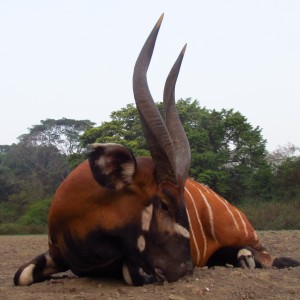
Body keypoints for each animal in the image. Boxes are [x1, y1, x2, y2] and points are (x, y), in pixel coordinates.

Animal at [12, 13, 298, 286]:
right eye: (164, 203)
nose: (183, 270)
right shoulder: (56, 254)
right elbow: (21, 275)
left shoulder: (137, 266)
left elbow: (134, 274)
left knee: (265, 256)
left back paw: (246, 256)